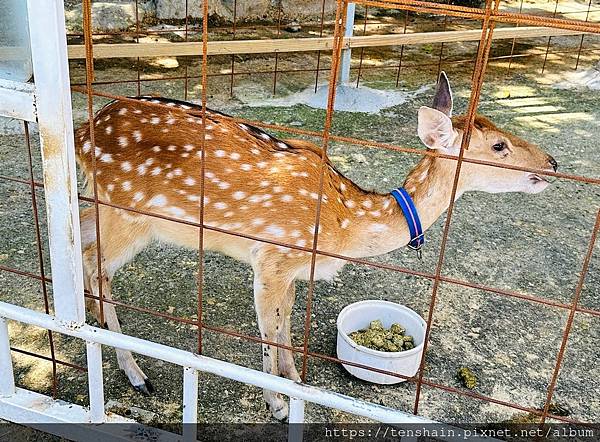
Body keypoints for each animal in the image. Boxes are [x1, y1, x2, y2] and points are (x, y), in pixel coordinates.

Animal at [76, 73, 556, 422]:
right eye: (499, 146)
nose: (553, 163)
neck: (346, 224)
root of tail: (83, 131)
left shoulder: (290, 268)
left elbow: (285, 322)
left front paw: (294, 381)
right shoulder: (273, 256)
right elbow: (268, 329)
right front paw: (276, 404)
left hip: (109, 205)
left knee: (78, 239)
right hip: (129, 212)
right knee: (93, 262)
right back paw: (134, 371)